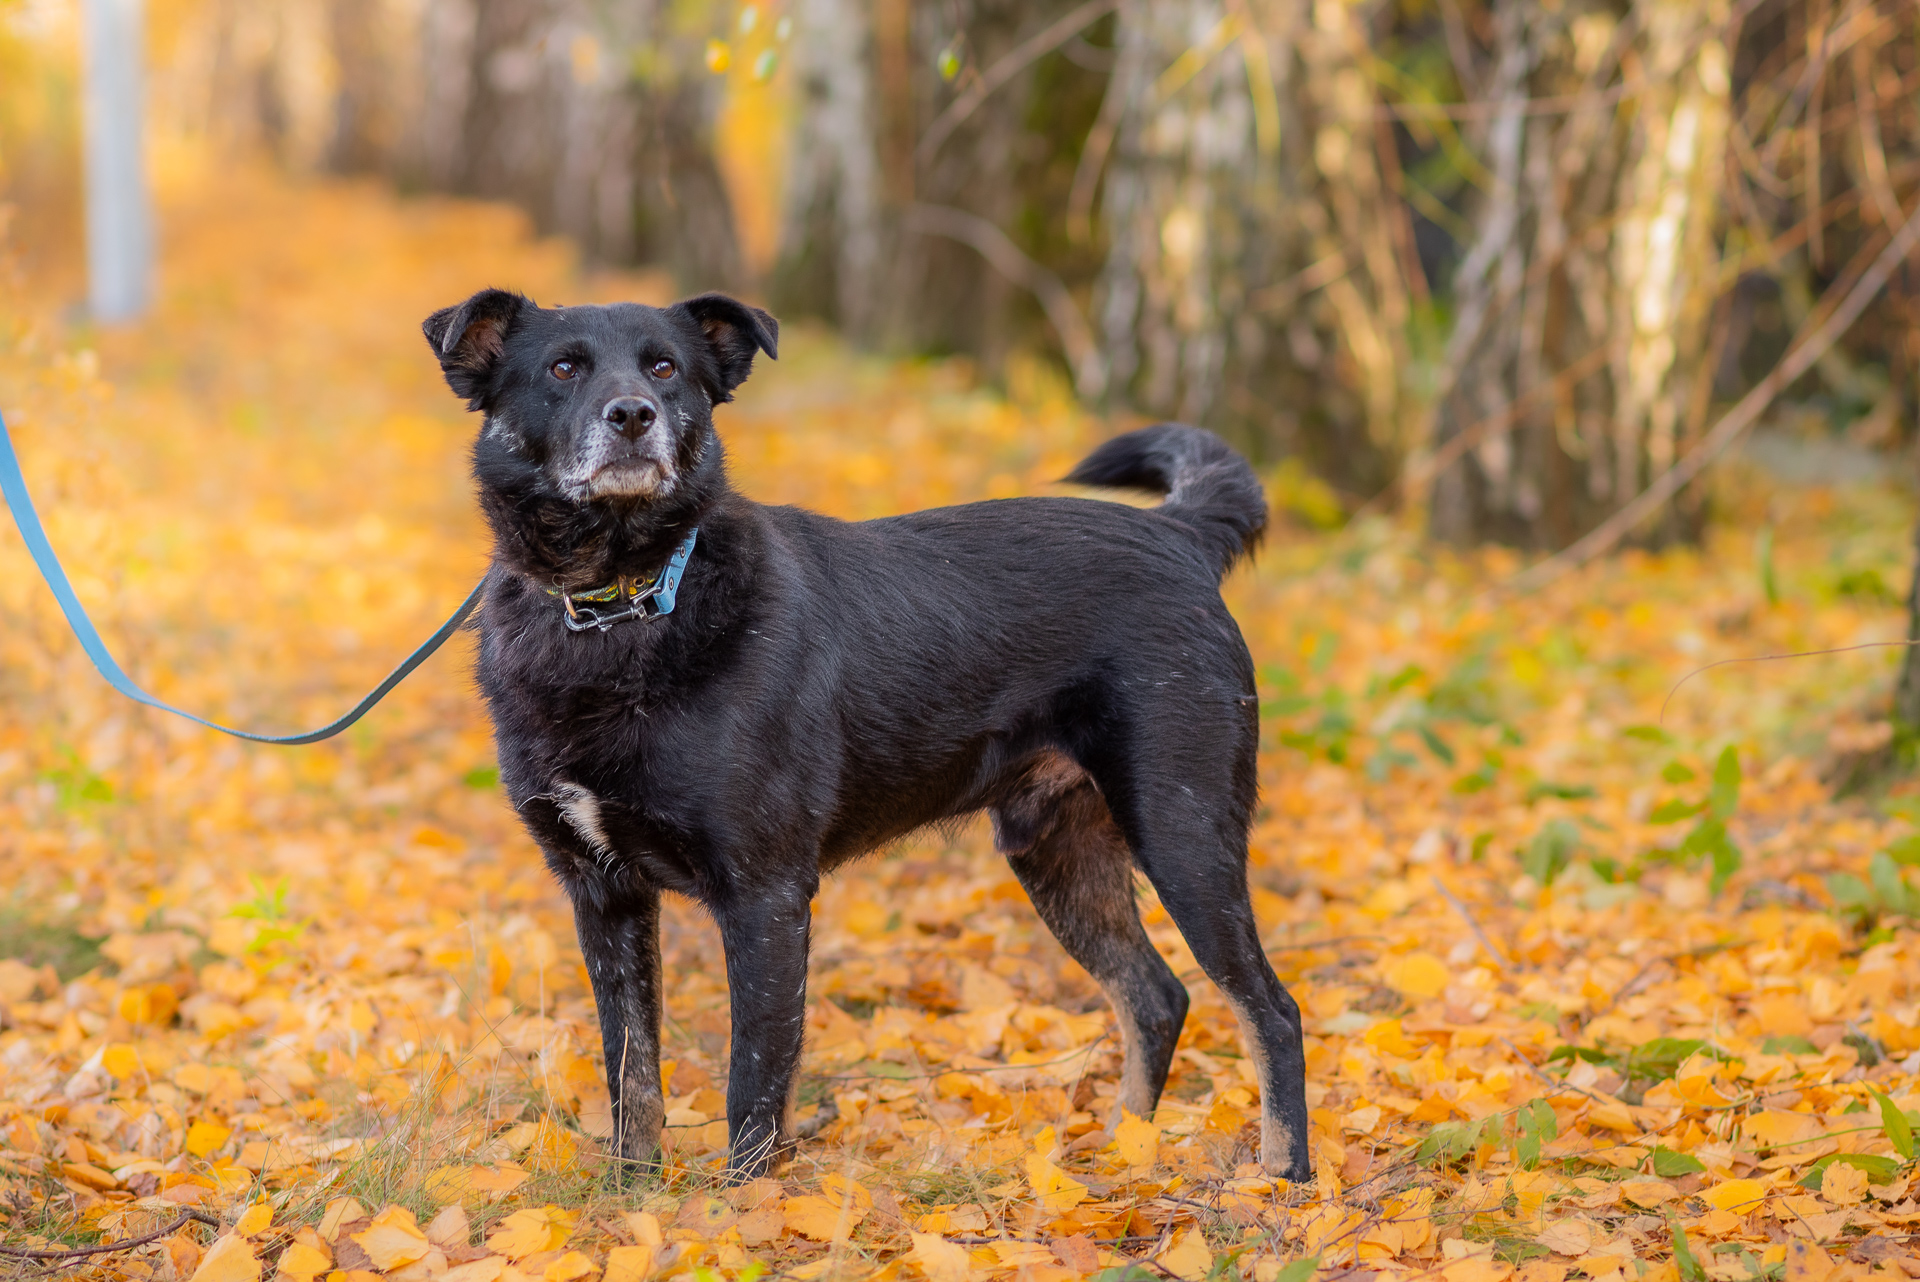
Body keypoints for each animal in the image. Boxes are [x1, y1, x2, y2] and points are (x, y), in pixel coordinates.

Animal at [422, 289, 1313, 1182]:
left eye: (665, 368)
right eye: (563, 368)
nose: (633, 415)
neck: (623, 602)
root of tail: (1180, 534)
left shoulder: (766, 894)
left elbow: (754, 1082)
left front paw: (739, 1206)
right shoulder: (604, 896)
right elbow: (631, 1073)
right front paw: (632, 1194)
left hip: (1182, 831)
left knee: (1271, 1008)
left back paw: (1283, 1176)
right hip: (1059, 852)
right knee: (1157, 996)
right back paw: (1124, 1148)